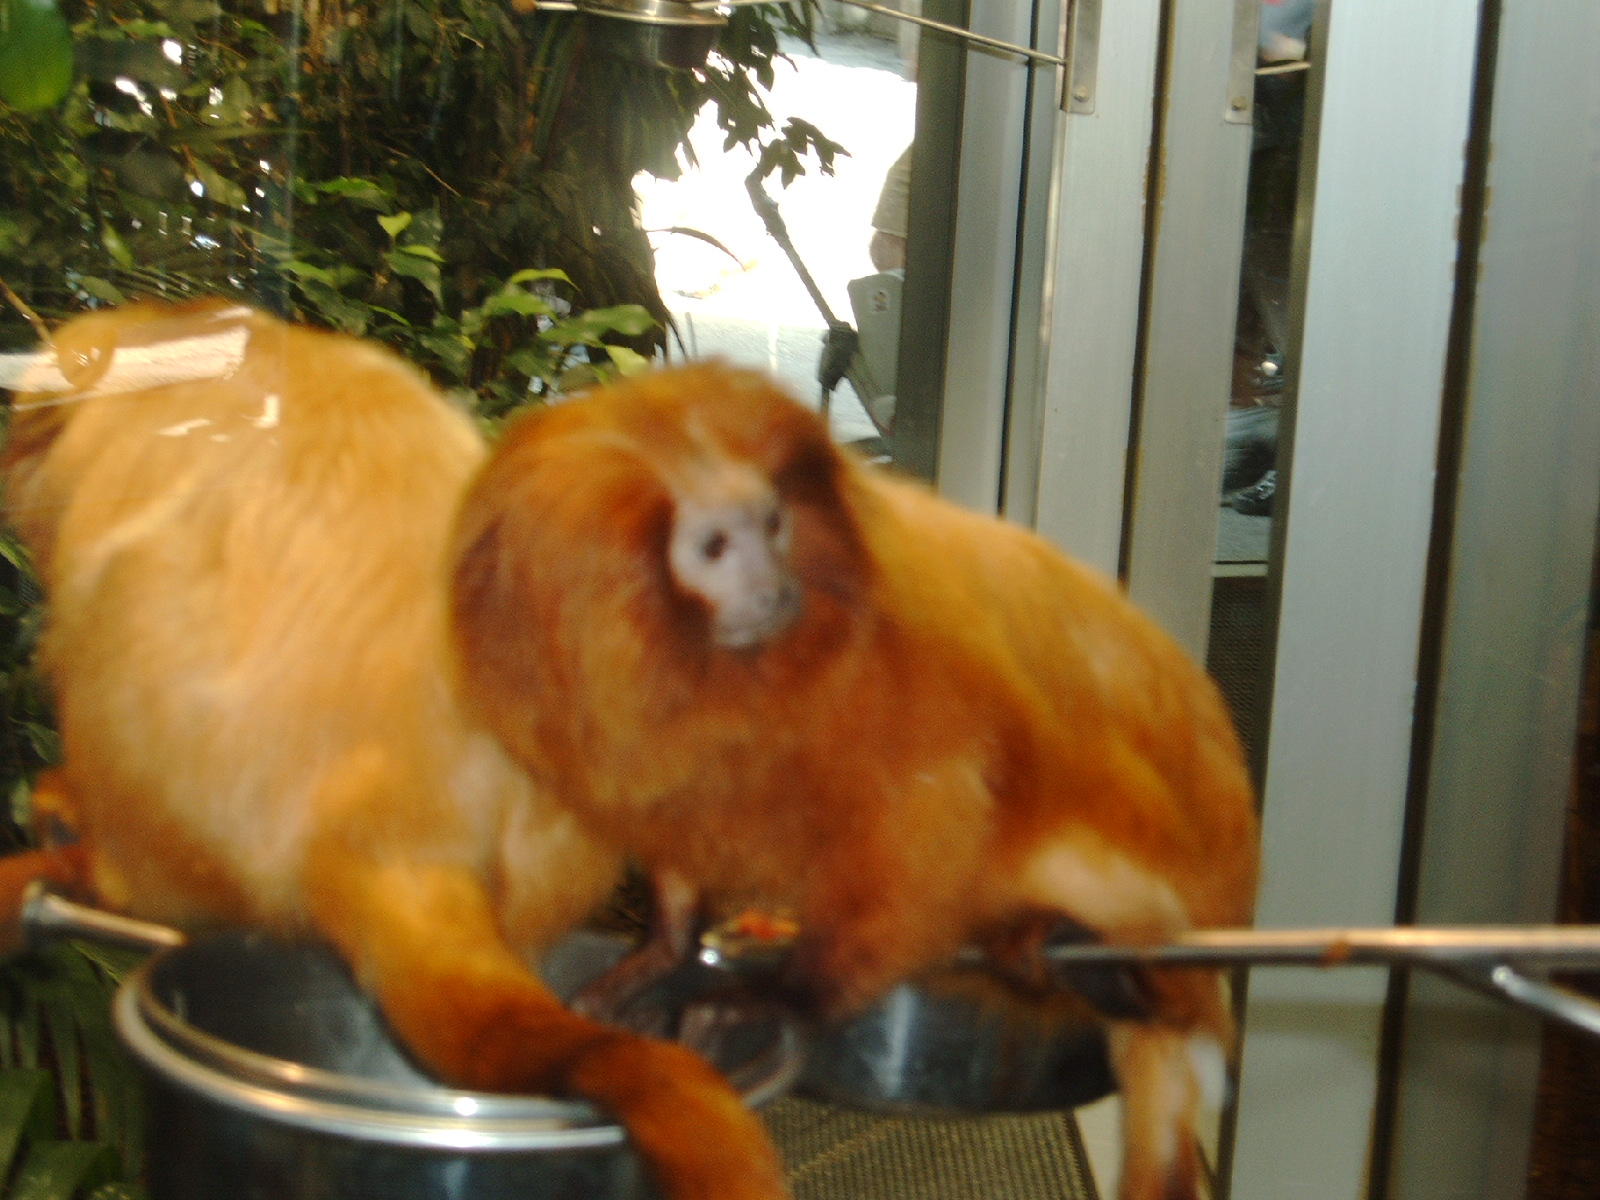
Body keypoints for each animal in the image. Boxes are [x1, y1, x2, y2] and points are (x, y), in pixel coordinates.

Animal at [449, 362, 1261, 1200]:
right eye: (715, 546)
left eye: (772, 525)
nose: (771, 589)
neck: (728, 671)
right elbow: (675, 817)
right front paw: (664, 951)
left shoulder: (910, 676)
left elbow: (931, 833)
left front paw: (782, 994)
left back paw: (1089, 957)